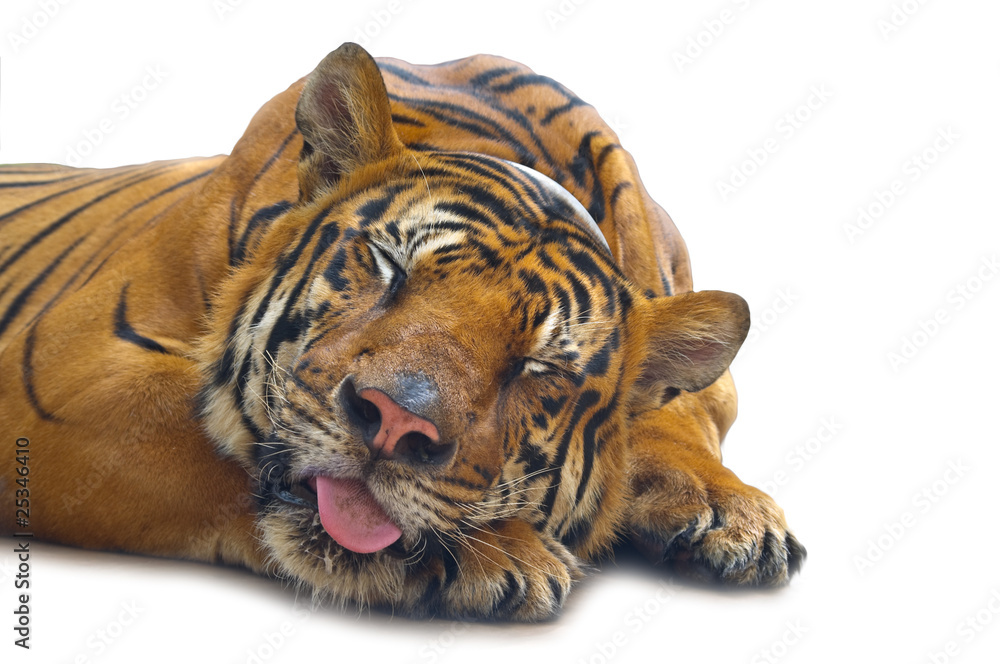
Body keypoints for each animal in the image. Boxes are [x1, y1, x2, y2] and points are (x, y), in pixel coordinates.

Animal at [0, 42, 804, 621]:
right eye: (389, 268)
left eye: (539, 368)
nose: (393, 424)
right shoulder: (67, 370)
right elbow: (204, 436)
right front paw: (502, 552)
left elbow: (678, 414)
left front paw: (731, 511)